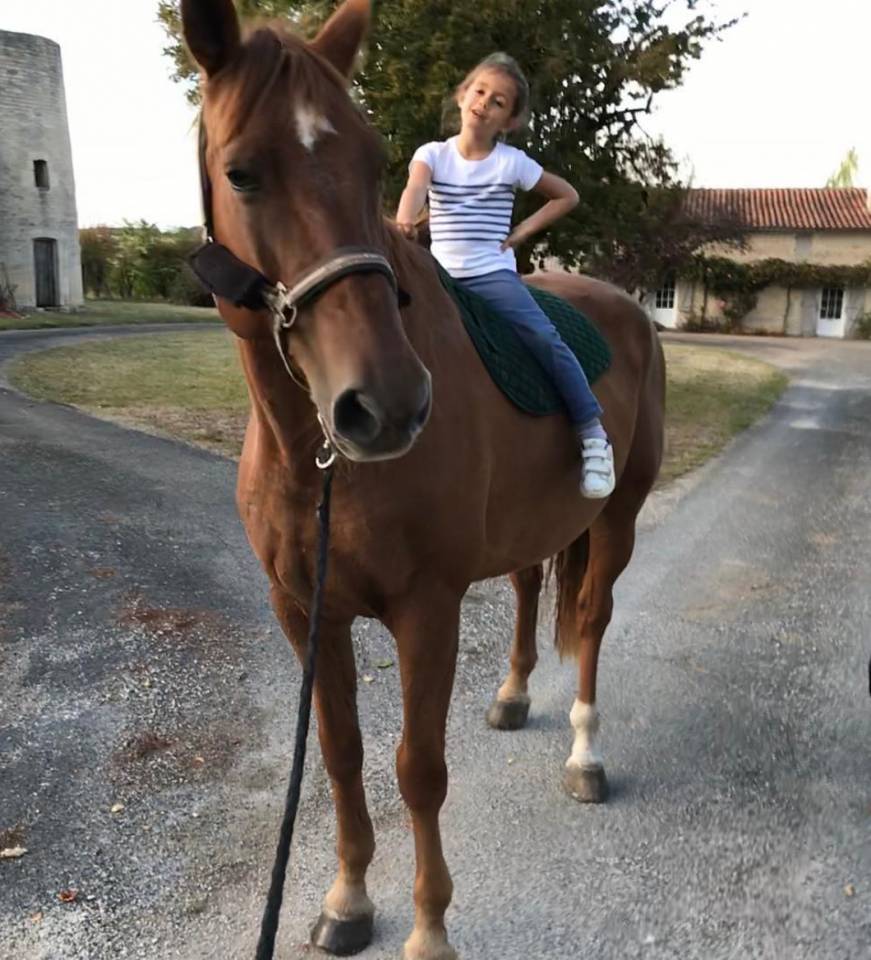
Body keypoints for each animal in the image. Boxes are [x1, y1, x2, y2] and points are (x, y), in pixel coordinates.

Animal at [181, 1, 665, 957]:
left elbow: (418, 769)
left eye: (371, 161)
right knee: (526, 585)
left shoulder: (425, 609)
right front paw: (346, 901)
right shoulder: (306, 612)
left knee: (592, 620)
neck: (317, 462)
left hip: (619, 517)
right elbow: (341, 757)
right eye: (241, 171)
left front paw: (428, 926)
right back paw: (513, 697)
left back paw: (585, 756)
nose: (389, 405)